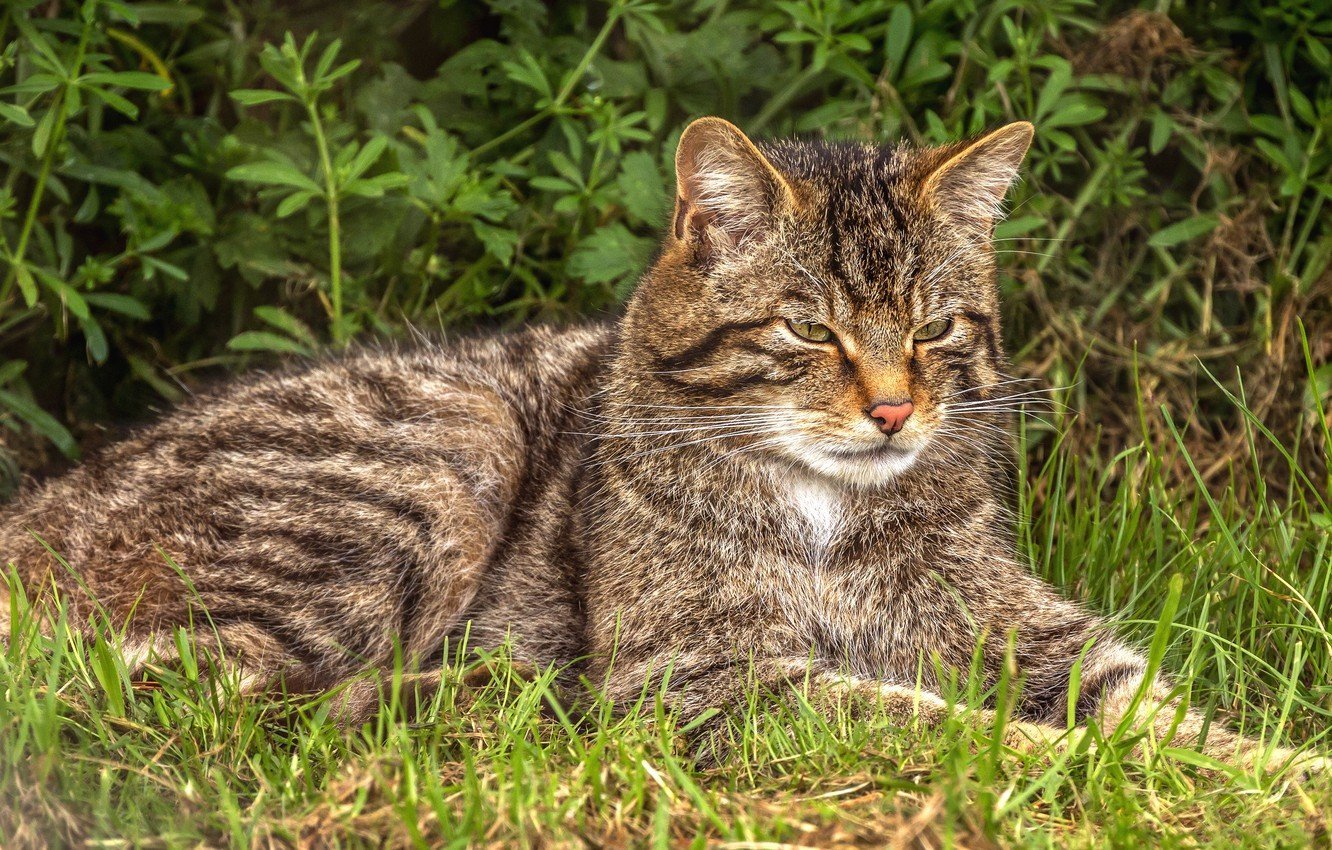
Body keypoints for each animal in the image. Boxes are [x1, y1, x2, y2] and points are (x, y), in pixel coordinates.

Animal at [0, 114, 1316, 772]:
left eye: (937, 328)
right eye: (809, 329)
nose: (896, 411)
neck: (829, 508)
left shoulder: (1035, 632)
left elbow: (1167, 715)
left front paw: (1284, 777)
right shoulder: (700, 673)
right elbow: (932, 720)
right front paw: (1052, 760)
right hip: (432, 452)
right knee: (195, 687)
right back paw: (487, 699)